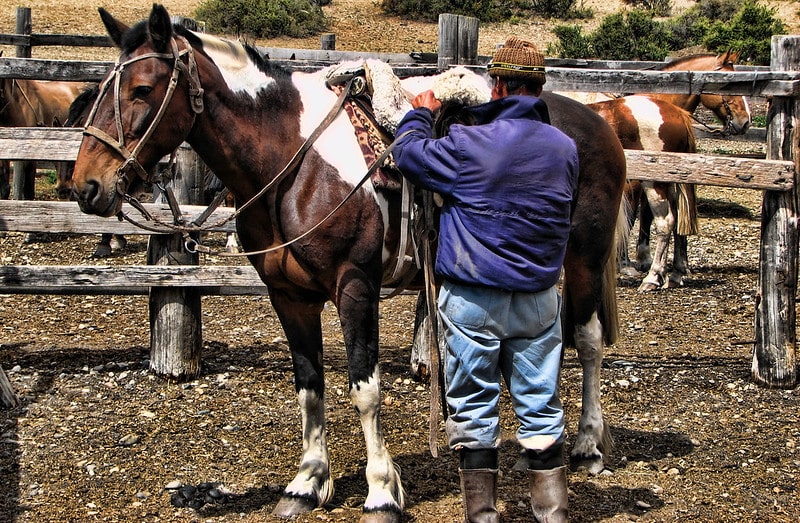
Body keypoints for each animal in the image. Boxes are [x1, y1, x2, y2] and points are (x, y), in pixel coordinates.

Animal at [69, 5, 628, 520]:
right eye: (99, 90)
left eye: (143, 88)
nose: (86, 186)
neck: (293, 160)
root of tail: (597, 121)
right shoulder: (289, 297)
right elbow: (309, 386)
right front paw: (306, 483)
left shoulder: (356, 287)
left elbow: (366, 389)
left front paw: (381, 492)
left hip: (584, 257)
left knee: (588, 341)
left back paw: (586, 446)